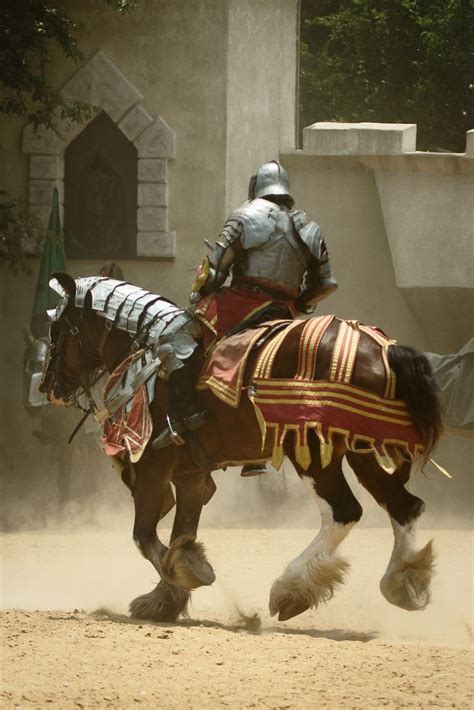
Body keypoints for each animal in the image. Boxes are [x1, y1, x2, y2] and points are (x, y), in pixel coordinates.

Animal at [40, 276, 444, 624]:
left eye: (57, 330)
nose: (49, 386)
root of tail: (384, 349)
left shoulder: (153, 473)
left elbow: (145, 537)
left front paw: (181, 581)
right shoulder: (190, 476)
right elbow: (180, 535)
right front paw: (167, 596)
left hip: (312, 452)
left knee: (345, 511)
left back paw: (291, 589)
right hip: (364, 451)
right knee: (404, 507)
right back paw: (405, 581)